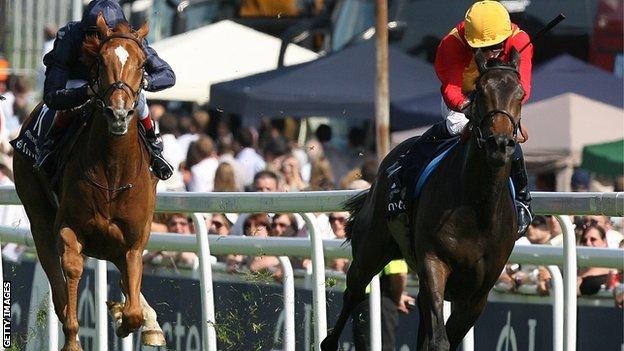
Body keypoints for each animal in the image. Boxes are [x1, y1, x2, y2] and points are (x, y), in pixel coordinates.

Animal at [14, 13, 166, 351]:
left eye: (141, 64)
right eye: (101, 60)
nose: (118, 113)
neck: (113, 171)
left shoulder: (133, 239)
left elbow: (133, 300)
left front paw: (127, 317)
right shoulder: (70, 227)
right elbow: (71, 271)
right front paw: (73, 339)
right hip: (38, 214)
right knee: (54, 274)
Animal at [324, 50, 524, 351]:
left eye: (520, 94)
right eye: (481, 91)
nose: (499, 144)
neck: (477, 207)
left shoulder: (478, 294)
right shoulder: (434, 263)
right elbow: (439, 340)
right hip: (370, 250)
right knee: (354, 293)